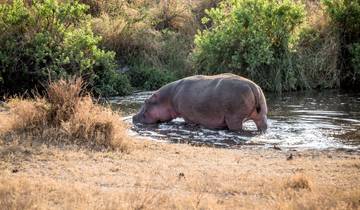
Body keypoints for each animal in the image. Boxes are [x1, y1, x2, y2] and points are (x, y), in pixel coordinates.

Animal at [132, 74, 268, 132]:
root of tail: (253, 86)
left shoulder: (188, 117)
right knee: (263, 125)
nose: (133, 117)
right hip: (261, 115)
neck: (167, 98)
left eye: (146, 101)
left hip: (235, 118)